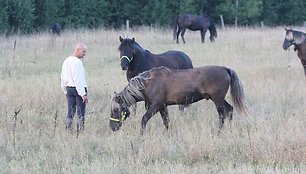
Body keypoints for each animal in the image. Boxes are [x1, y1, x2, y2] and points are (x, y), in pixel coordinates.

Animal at [110, 66, 249, 134]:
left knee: (222, 115)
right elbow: (166, 121)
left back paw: (219, 132)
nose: (112, 127)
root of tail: (225, 69)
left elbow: (144, 119)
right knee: (230, 110)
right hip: (219, 99)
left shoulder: (156, 106)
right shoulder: (163, 106)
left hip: (217, 100)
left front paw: (141, 135)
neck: (149, 82)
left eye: (116, 109)